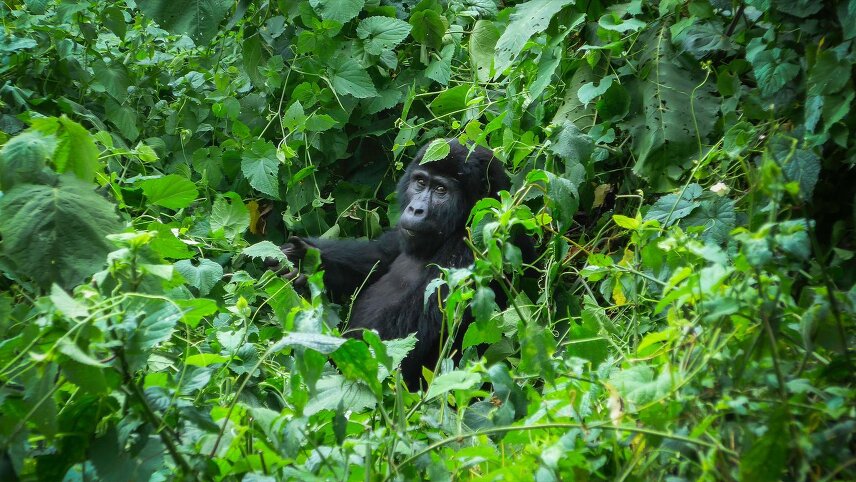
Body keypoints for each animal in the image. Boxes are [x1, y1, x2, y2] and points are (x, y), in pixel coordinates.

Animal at [278, 139, 512, 388]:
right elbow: (376, 258)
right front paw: (301, 259)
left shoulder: (472, 250)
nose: (415, 209)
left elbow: (390, 347)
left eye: (441, 190)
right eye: (420, 182)